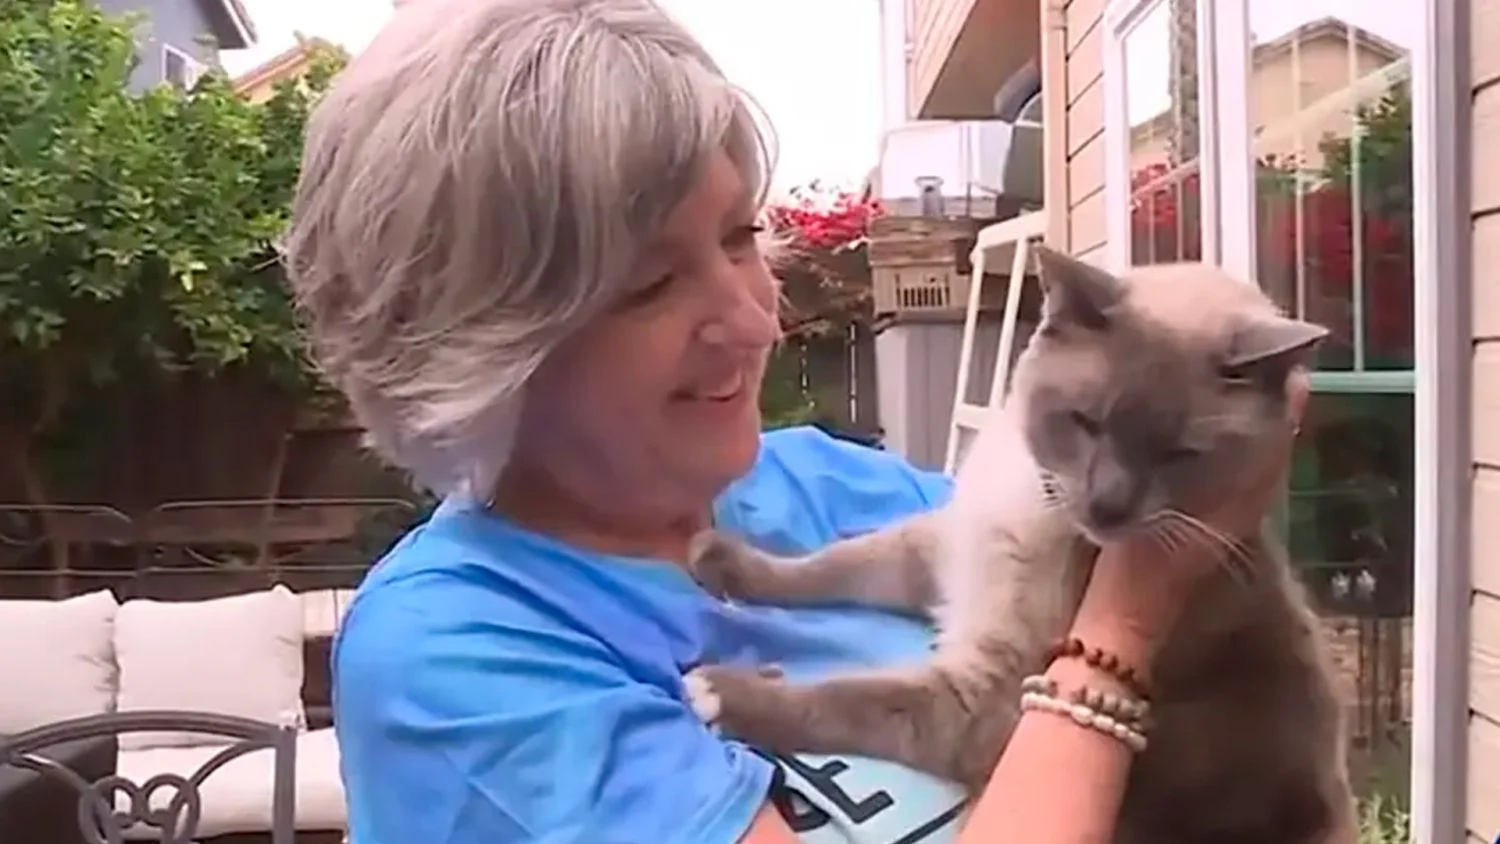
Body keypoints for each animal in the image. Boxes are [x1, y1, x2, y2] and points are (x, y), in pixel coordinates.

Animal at [687, 248, 1356, 844]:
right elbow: (831, 565)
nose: (1108, 506)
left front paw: (716, 690)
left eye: (1178, 455)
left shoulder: (986, 695)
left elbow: (848, 697)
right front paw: (715, 560)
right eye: (1086, 422)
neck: (1039, 505)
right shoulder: (938, 552)